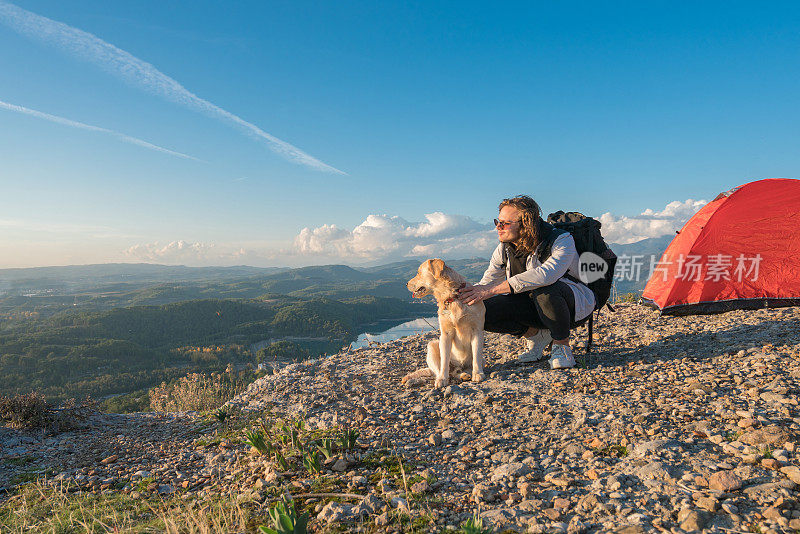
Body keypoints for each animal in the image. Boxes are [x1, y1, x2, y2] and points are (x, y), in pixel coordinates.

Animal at [404, 260, 484, 390]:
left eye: (419, 272)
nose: (406, 284)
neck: (452, 297)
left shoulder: (477, 331)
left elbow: (476, 357)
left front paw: (478, 374)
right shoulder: (446, 335)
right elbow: (444, 361)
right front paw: (442, 379)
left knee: (462, 369)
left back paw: (465, 375)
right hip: (432, 346)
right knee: (443, 370)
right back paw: (445, 376)